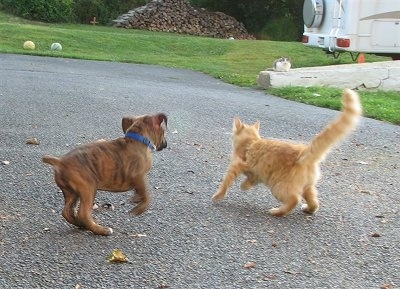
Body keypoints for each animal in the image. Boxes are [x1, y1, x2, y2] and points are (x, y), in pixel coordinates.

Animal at [212, 89, 362, 215]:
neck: (251, 142)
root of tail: (302, 151)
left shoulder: (236, 166)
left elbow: (225, 183)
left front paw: (218, 196)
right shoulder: (256, 174)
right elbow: (250, 180)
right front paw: (244, 186)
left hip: (278, 187)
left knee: (294, 199)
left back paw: (277, 212)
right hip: (307, 187)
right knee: (314, 201)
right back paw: (309, 209)